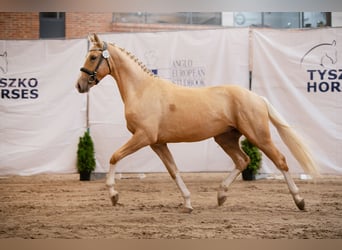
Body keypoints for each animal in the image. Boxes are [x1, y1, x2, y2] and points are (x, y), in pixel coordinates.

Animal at [76, 33, 320, 213]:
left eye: (92, 57)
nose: (79, 85)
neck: (142, 90)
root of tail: (257, 97)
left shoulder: (143, 137)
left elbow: (115, 156)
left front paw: (114, 195)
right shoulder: (157, 143)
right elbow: (174, 171)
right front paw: (188, 202)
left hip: (258, 135)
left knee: (280, 161)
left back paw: (300, 201)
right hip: (225, 138)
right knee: (243, 160)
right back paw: (221, 195)